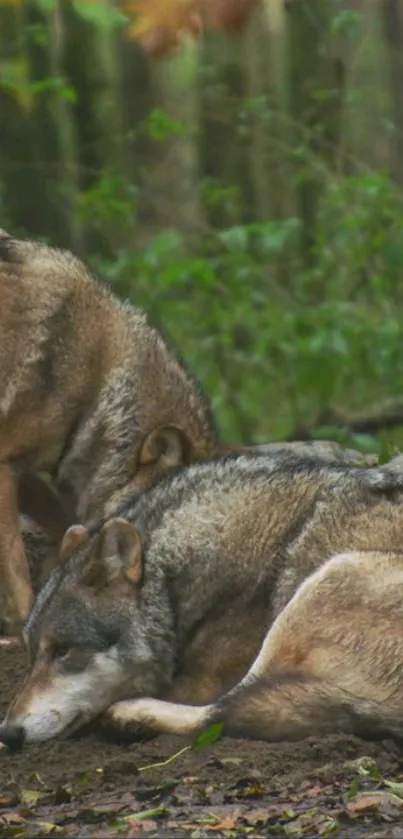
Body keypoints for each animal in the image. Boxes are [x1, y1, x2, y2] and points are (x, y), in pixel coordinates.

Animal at [0, 452, 403, 756]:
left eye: (63, 651)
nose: (9, 733)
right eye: (33, 655)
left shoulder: (202, 681)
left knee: (225, 712)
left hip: (325, 580)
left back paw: (129, 716)